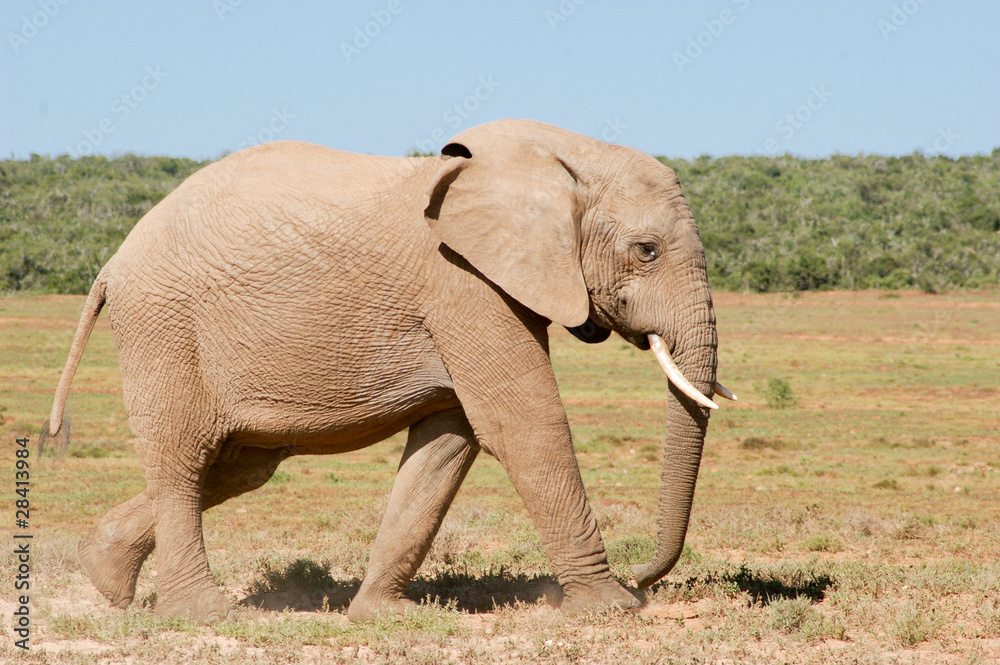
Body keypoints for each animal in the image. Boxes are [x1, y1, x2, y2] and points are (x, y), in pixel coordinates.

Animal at [40, 118, 733, 624]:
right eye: (646, 250)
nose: (645, 578)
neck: (559, 156)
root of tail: (112, 262)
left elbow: (449, 441)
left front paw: (383, 616)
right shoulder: (463, 283)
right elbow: (523, 424)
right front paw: (610, 609)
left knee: (240, 465)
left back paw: (105, 577)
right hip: (164, 327)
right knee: (184, 461)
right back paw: (208, 616)